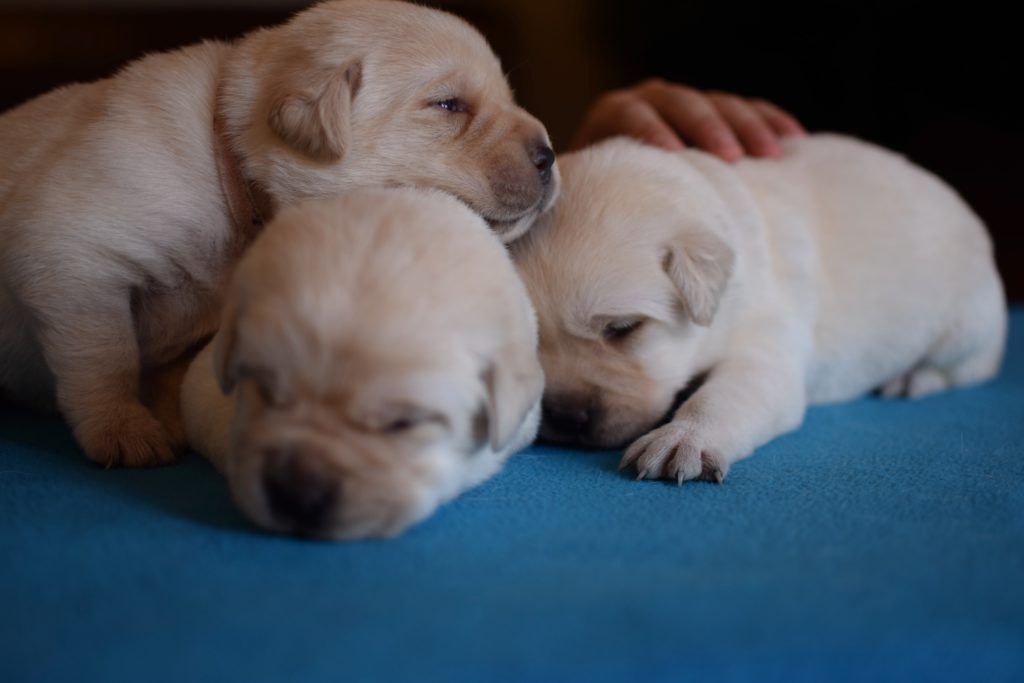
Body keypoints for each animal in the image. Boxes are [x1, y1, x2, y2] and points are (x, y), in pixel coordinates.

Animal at [2, 0, 561, 466]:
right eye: (448, 105)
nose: (549, 156)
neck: (229, 167)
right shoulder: (76, 258)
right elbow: (106, 355)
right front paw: (124, 429)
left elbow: (167, 372)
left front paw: (170, 417)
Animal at [516, 135, 1003, 485]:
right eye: (533, 343)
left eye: (623, 328)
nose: (566, 418)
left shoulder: (765, 346)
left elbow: (724, 396)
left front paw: (683, 440)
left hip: (966, 324)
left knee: (971, 367)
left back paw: (913, 379)